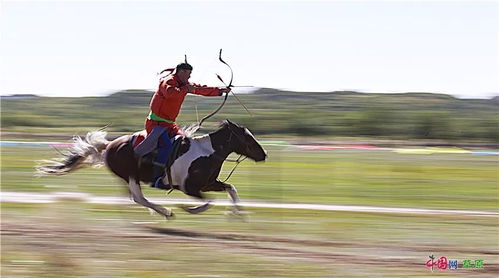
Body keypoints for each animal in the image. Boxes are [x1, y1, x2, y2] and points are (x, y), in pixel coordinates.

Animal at [37, 120, 268, 219]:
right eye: (247, 138)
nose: (264, 154)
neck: (206, 153)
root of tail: (108, 145)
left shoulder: (208, 183)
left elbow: (231, 188)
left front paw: (237, 213)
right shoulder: (190, 188)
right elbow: (208, 201)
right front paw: (189, 209)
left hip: (127, 179)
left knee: (131, 198)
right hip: (131, 176)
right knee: (138, 198)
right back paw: (166, 211)